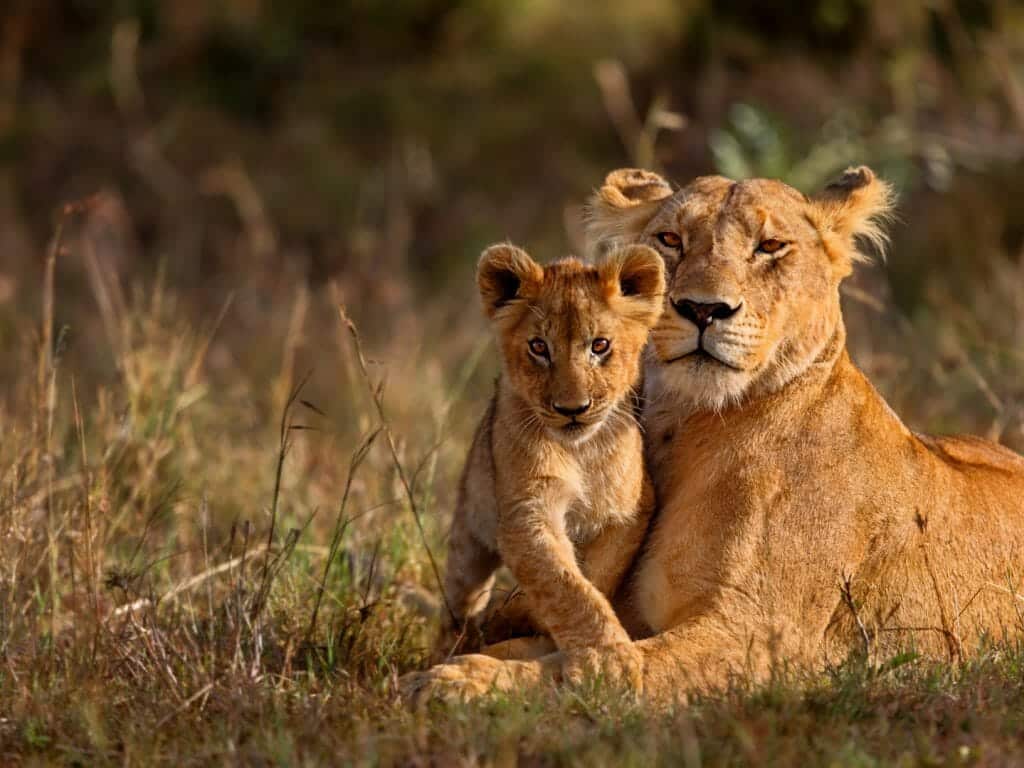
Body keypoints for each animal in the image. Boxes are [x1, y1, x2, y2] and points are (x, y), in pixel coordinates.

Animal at [434, 242, 664, 669]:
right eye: (539, 347)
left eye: (600, 345)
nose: (572, 409)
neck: (581, 450)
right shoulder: (526, 513)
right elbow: (565, 586)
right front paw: (608, 660)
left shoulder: (630, 510)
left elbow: (595, 576)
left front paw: (520, 615)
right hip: (468, 535)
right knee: (459, 600)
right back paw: (451, 646)